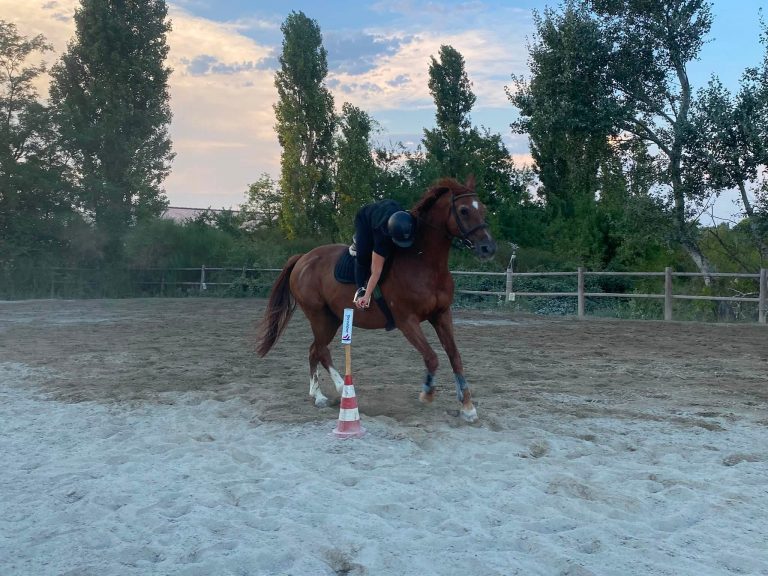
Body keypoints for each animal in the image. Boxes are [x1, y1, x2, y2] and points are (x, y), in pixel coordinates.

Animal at [256, 176, 497, 422]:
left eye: (483, 209)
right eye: (464, 210)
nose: (488, 248)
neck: (423, 262)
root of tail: (303, 258)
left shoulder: (441, 315)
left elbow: (455, 357)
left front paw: (467, 406)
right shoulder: (406, 321)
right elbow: (432, 358)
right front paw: (427, 393)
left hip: (332, 318)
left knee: (315, 350)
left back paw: (318, 393)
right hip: (319, 317)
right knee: (320, 350)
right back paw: (338, 389)